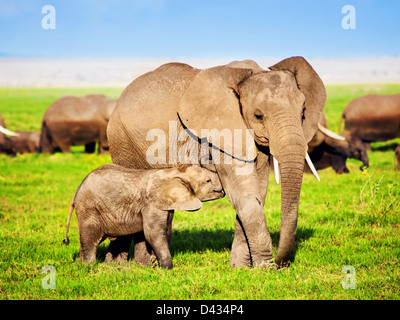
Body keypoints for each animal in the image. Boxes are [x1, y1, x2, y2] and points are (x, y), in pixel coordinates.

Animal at [63, 164, 225, 268]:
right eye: (208, 181)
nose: (223, 190)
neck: (174, 172)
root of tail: (77, 191)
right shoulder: (151, 204)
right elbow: (153, 234)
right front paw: (166, 269)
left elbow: (165, 232)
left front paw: (153, 264)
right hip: (89, 208)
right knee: (91, 239)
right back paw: (88, 267)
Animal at [107, 57, 328, 268]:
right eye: (258, 116)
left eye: (303, 113)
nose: (282, 264)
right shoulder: (222, 133)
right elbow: (245, 195)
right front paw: (265, 269)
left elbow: (257, 193)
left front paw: (240, 268)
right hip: (124, 142)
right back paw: (125, 266)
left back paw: (138, 265)